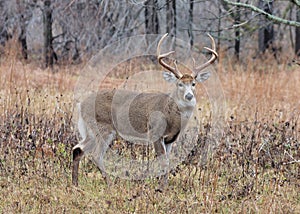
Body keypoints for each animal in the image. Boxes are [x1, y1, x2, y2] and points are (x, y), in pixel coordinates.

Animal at [72, 33, 218, 187]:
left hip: (90, 131)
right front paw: (161, 187)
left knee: (77, 149)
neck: (172, 117)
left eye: (194, 83)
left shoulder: (170, 139)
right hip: (103, 127)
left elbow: (168, 161)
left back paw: (75, 183)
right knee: (96, 155)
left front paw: (163, 185)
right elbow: (164, 162)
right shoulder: (155, 133)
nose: (189, 96)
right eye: (179, 84)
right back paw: (109, 184)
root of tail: (81, 105)